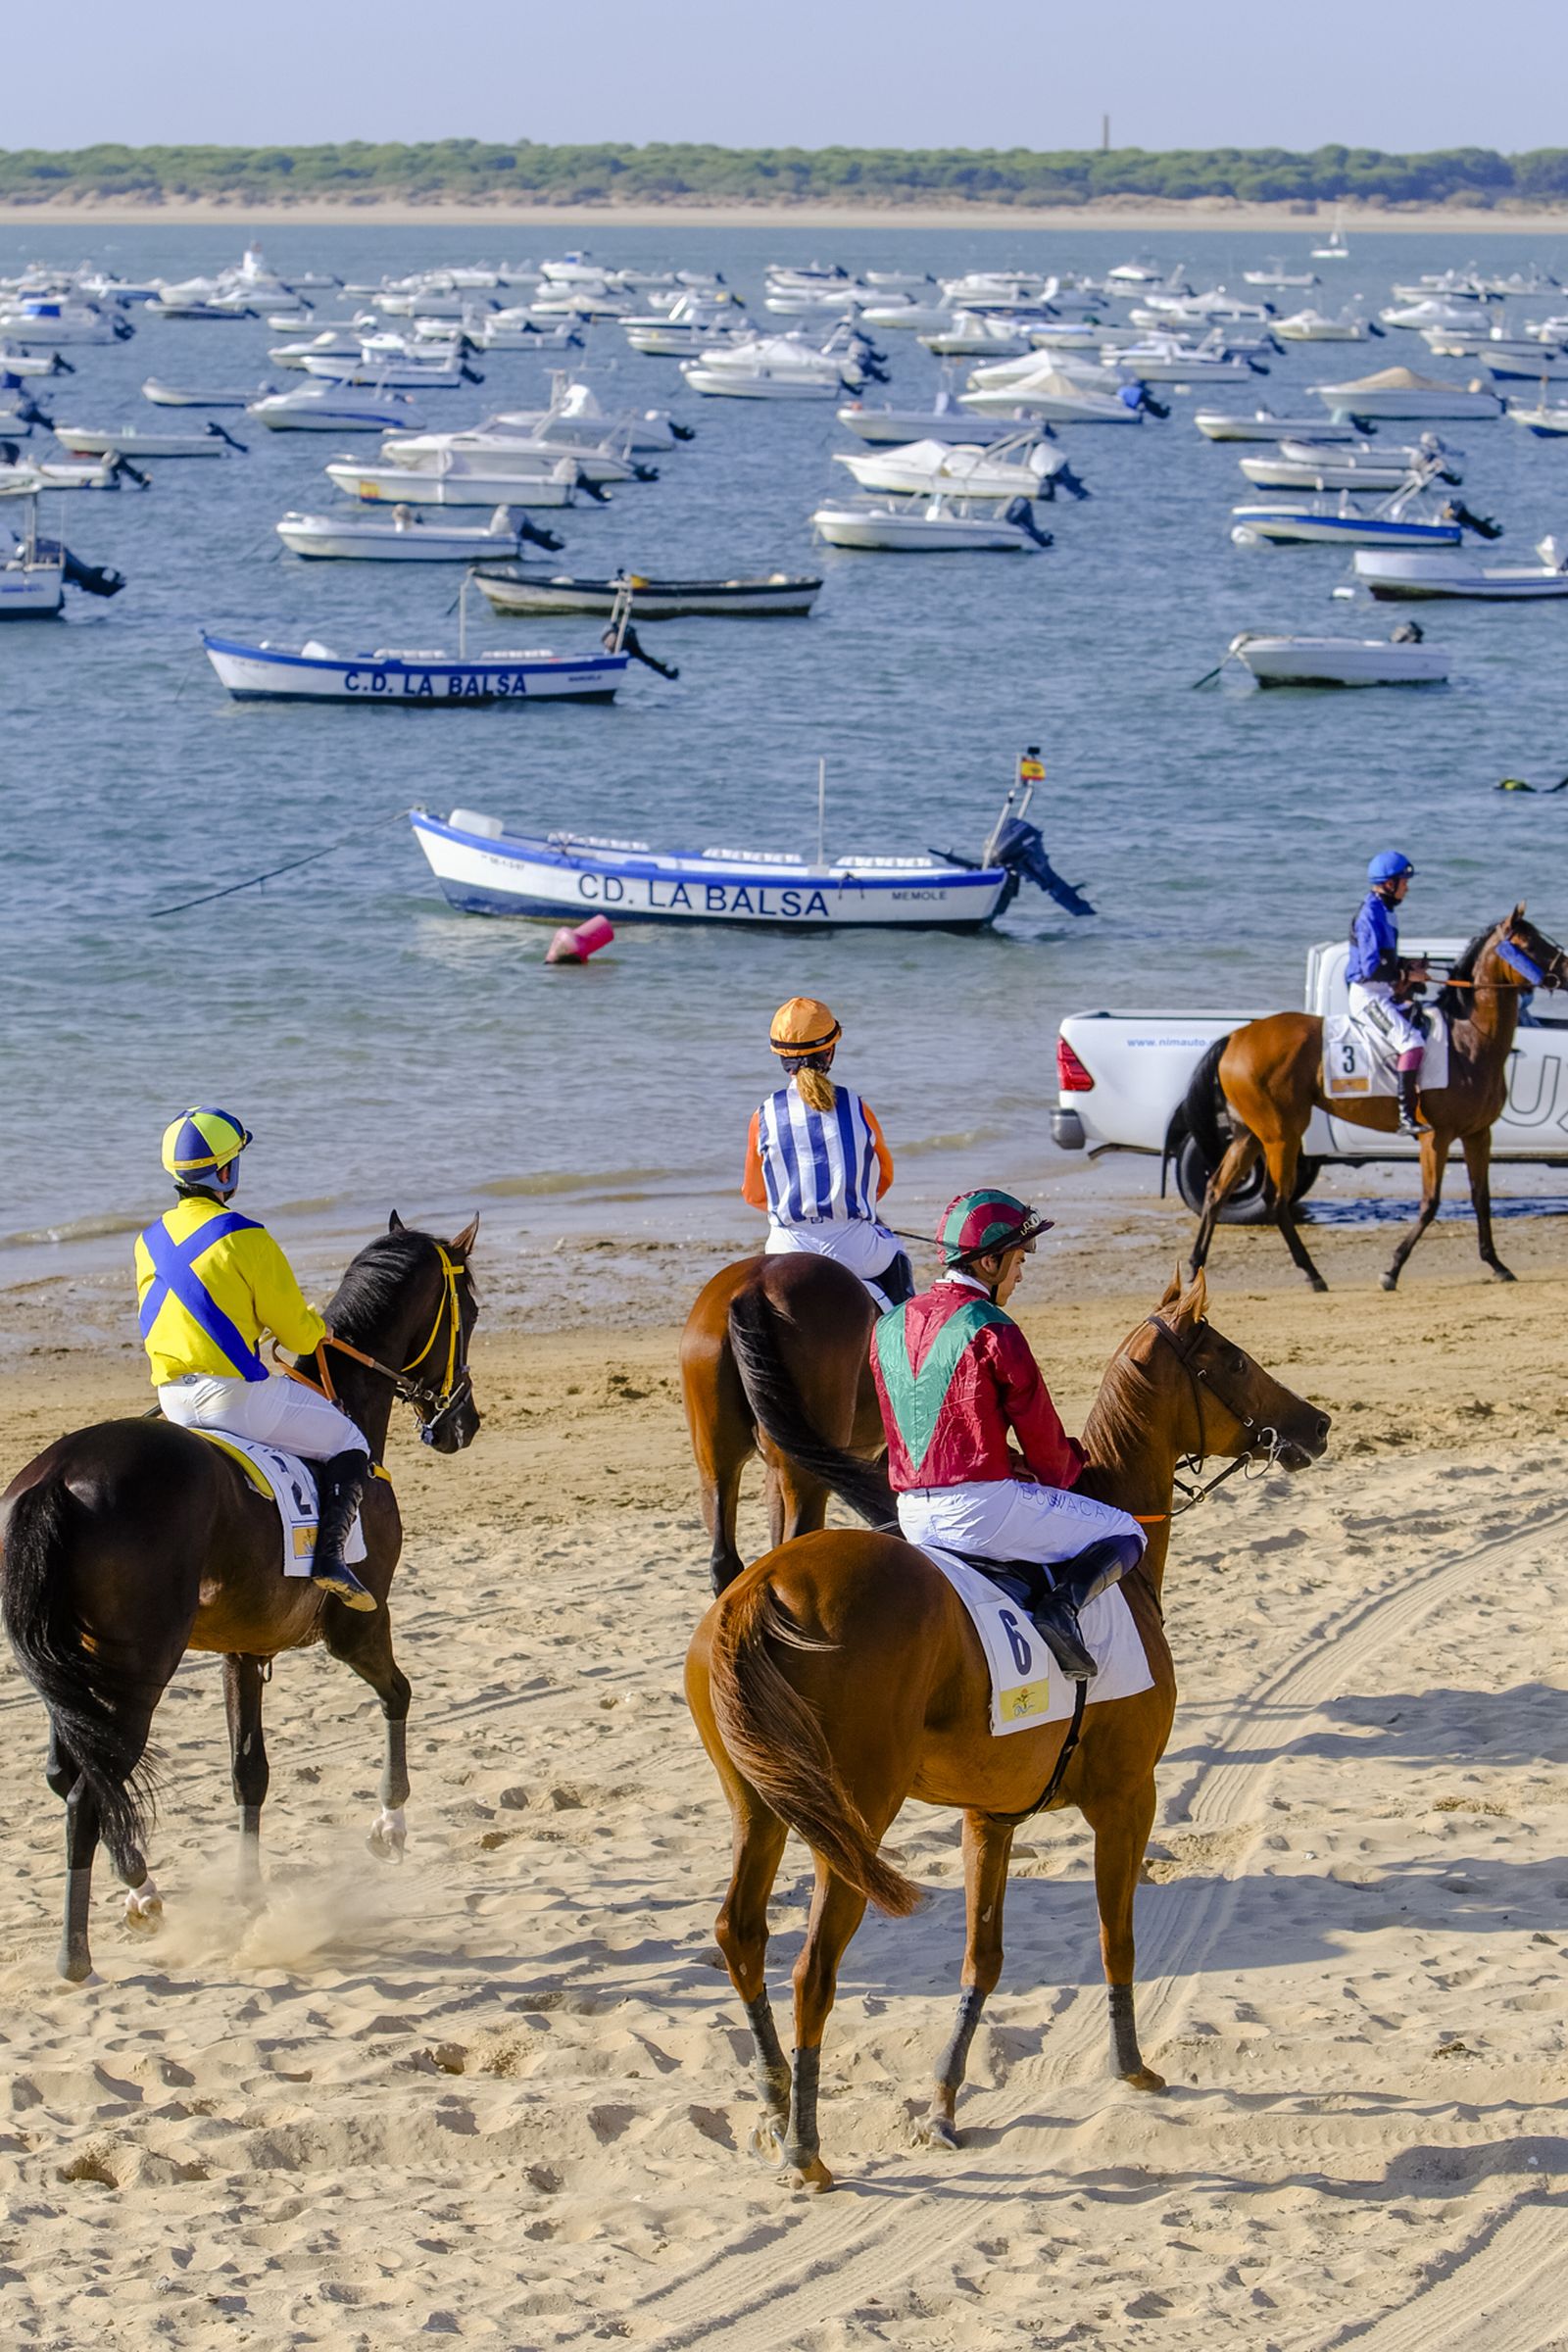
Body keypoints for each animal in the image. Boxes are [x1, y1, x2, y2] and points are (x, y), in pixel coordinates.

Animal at [0, 1212, 480, 1982]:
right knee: (84, 1791)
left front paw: (251, 1894)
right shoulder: (358, 1624)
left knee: (68, 1772)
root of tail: (58, 1477)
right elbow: (399, 1696)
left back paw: (144, 1892)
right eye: (472, 1310)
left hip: (68, 1668)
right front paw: (390, 1823)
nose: (463, 1424)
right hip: (137, 1671)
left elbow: (248, 1771)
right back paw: (76, 1953)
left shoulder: (241, 1649)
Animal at [1182, 907, 1568, 1292]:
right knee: (1276, 1200)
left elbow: (1481, 1198)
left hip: (1250, 1134)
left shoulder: (1478, 1134)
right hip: (1282, 1136)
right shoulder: (1436, 1137)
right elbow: (1430, 1203)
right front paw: (1392, 1268)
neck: (1467, 1041)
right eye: (1530, 943)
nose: (1565, 969)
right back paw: (1311, 1272)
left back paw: (1194, 1265)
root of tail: (1236, 1036)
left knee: (1217, 1190)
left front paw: (1496, 1263)